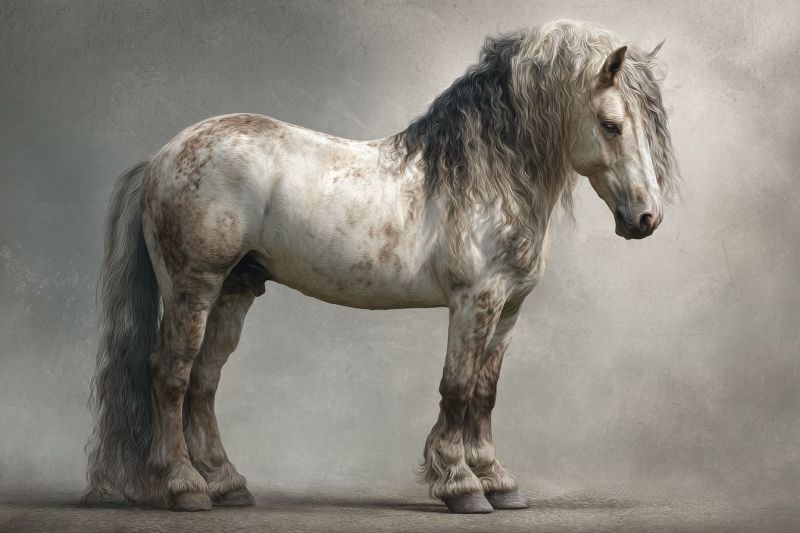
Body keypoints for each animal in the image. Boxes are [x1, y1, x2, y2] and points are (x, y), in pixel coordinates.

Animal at [83, 20, 679, 514]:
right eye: (611, 125)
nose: (646, 218)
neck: (486, 175)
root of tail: (162, 156)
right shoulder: (475, 301)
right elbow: (457, 388)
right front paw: (461, 486)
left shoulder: (509, 308)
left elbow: (485, 394)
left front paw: (500, 483)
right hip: (193, 287)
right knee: (170, 375)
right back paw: (185, 488)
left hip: (234, 290)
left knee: (204, 383)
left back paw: (228, 485)